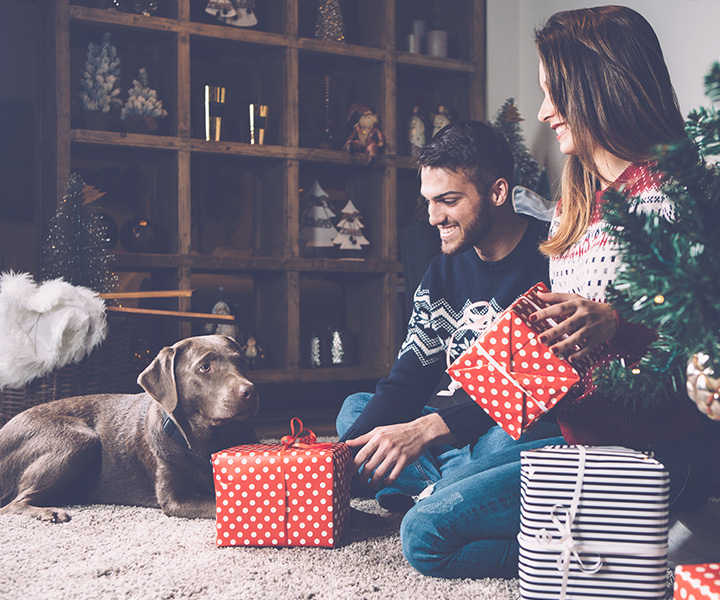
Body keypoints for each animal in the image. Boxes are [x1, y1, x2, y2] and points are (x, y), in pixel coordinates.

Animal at [0, 336, 258, 524]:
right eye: (205, 367)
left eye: (241, 362)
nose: (250, 391)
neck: (205, 444)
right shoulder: (175, 499)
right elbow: (220, 505)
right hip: (80, 440)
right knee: (12, 504)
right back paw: (49, 512)